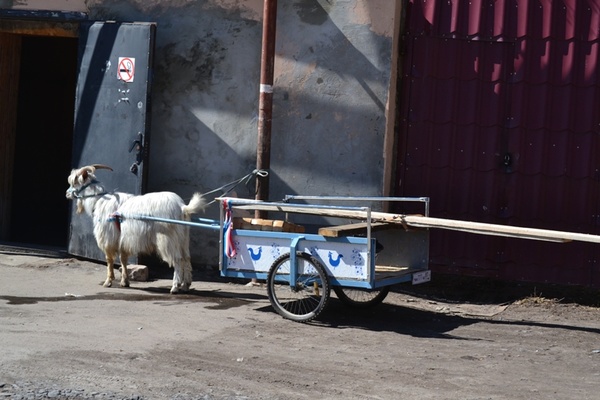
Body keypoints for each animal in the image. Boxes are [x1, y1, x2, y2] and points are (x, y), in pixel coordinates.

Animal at [66, 163, 206, 294]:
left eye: (74, 182)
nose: (67, 193)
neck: (99, 200)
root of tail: (182, 207)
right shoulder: (122, 239)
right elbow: (123, 259)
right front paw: (124, 281)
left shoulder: (108, 238)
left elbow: (109, 260)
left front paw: (108, 281)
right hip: (183, 237)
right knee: (186, 258)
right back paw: (186, 285)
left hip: (168, 238)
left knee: (177, 259)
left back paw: (175, 287)